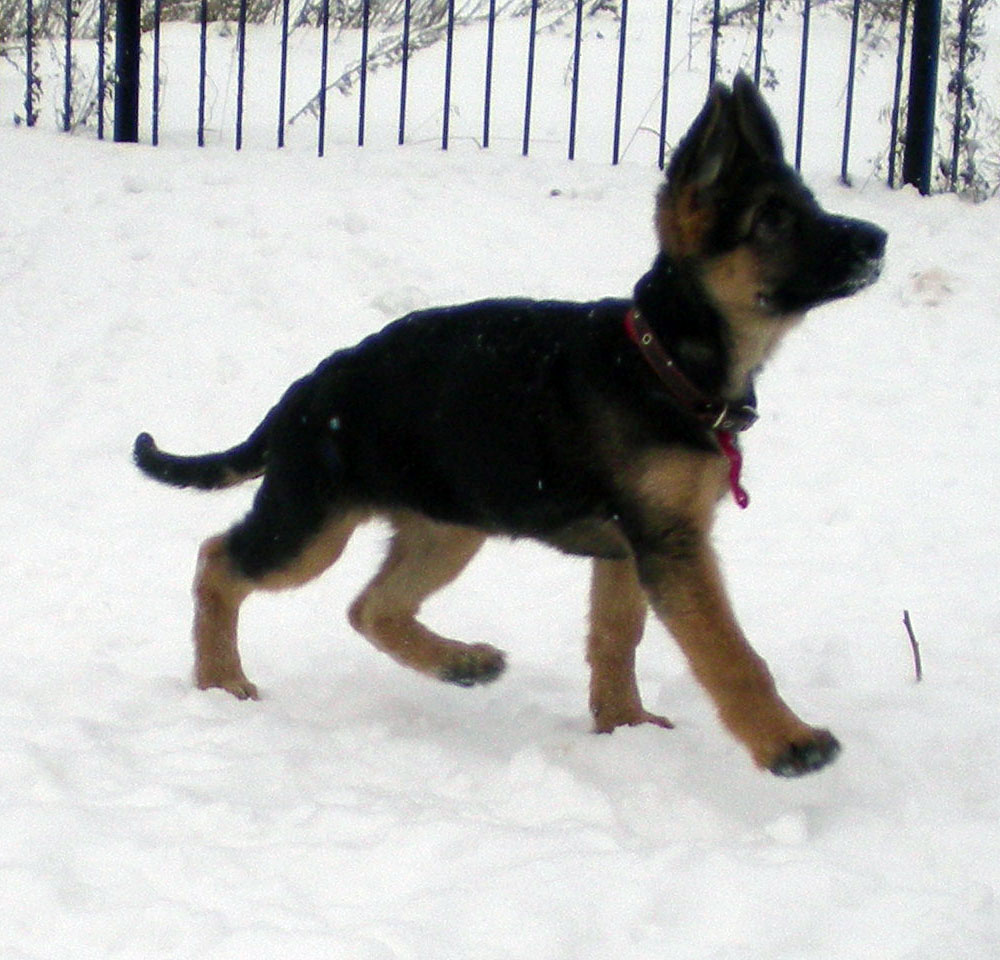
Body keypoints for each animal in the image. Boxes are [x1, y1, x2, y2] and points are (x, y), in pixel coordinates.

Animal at [133, 77, 884, 780]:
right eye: (774, 219)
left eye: (809, 205)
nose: (878, 239)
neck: (663, 360)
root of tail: (304, 393)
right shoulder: (671, 545)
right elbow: (730, 653)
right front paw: (790, 744)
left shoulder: (630, 547)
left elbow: (617, 637)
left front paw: (623, 725)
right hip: (312, 525)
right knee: (218, 562)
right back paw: (221, 681)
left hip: (448, 527)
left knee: (370, 607)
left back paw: (459, 663)